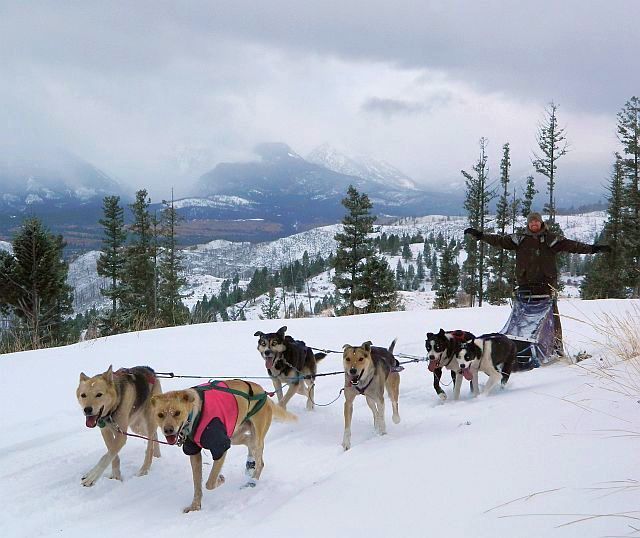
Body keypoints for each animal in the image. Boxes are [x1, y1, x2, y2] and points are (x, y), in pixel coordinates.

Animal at [152, 376, 298, 510]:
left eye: (177, 413)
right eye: (160, 415)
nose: (168, 430)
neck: (195, 414)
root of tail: (264, 394)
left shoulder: (221, 447)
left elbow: (210, 483)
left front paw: (220, 479)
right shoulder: (194, 452)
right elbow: (197, 484)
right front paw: (195, 505)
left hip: (252, 436)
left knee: (260, 460)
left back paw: (252, 481)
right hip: (234, 435)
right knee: (248, 441)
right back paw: (250, 464)